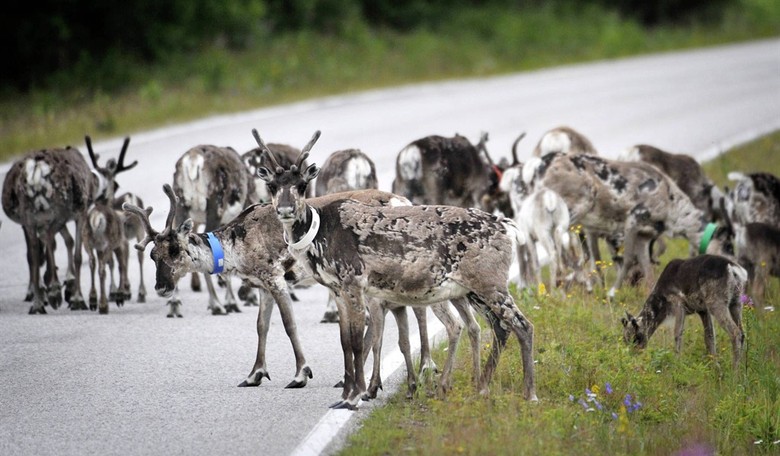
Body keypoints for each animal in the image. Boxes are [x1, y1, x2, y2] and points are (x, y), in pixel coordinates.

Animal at [2, 145, 98, 313]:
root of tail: (37, 168)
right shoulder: (80, 212)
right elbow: (78, 255)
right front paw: (77, 298)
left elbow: (62, 244)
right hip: (56, 213)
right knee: (47, 241)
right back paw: (53, 291)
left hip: (30, 216)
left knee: (35, 252)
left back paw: (39, 302)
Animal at [81, 135, 138, 313]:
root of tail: (95, 217)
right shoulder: (119, 243)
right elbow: (120, 265)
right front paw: (120, 295)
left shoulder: (100, 247)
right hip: (107, 242)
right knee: (102, 268)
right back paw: (103, 305)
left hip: (87, 241)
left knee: (92, 263)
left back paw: (93, 300)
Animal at [170, 144, 256, 317]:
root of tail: (192, 161)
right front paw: (232, 302)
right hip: (215, 206)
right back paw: (217, 304)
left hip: (181, 205)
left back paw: (174, 304)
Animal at [254, 129, 537, 410]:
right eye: (272, 185)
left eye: (302, 184)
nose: (286, 209)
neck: (319, 236)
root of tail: (507, 227)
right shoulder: (337, 290)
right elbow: (345, 342)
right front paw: (344, 396)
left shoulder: (354, 284)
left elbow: (357, 341)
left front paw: (355, 395)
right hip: (473, 290)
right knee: (499, 326)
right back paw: (482, 388)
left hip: (490, 284)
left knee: (523, 324)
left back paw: (529, 393)